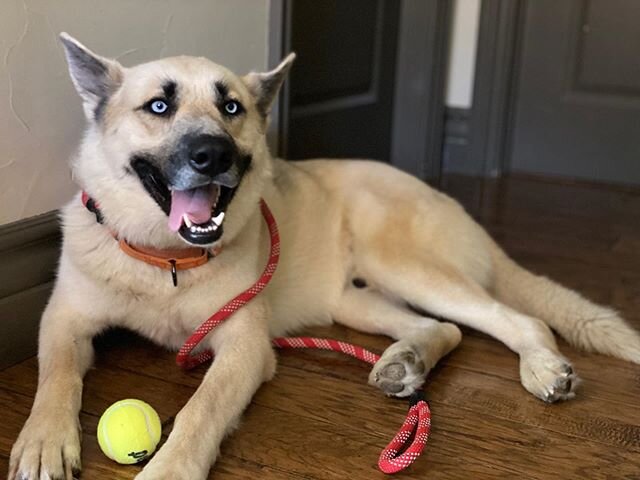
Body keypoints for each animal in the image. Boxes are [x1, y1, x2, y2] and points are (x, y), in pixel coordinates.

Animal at [8, 33, 640, 480]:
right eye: (159, 106)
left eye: (231, 108)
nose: (213, 155)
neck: (164, 263)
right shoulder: (63, 320)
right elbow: (55, 376)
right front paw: (43, 440)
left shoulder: (243, 348)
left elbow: (201, 409)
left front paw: (170, 468)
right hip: (351, 300)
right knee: (443, 328)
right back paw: (406, 359)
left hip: (403, 265)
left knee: (517, 320)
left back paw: (542, 368)